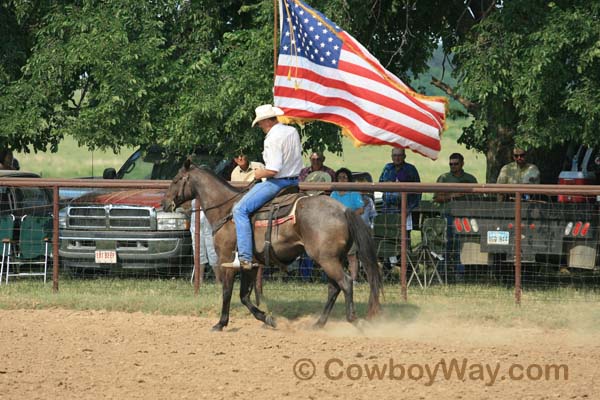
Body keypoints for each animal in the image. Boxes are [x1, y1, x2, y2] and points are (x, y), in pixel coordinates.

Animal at [162, 159, 382, 332]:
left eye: (175, 180)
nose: (164, 203)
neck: (227, 210)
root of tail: (343, 210)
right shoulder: (250, 264)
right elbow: (244, 296)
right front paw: (269, 319)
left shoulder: (227, 259)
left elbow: (227, 292)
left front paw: (220, 323)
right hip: (332, 258)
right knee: (334, 288)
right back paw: (318, 324)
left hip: (327, 259)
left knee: (345, 283)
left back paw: (354, 321)